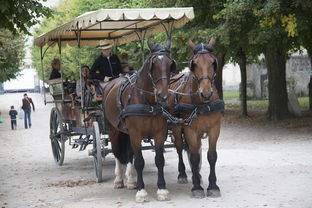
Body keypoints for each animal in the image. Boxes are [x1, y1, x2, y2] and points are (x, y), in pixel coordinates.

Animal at [102, 39, 176, 202]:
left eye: (170, 64)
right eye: (153, 64)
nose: (163, 95)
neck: (147, 101)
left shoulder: (159, 133)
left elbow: (159, 160)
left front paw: (162, 189)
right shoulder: (136, 134)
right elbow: (140, 162)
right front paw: (141, 192)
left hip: (126, 133)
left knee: (129, 154)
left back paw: (130, 180)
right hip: (113, 130)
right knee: (117, 152)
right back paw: (119, 180)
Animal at [168, 38, 224, 199]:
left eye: (213, 62)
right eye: (194, 64)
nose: (206, 93)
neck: (202, 103)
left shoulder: (214, 129)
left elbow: (211, 156)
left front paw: (213, 186)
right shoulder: (190, 129)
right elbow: (193, 157)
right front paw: (197, 187)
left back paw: (197, 175)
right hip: (176, 127)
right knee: (180, 148)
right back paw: (183, 174)